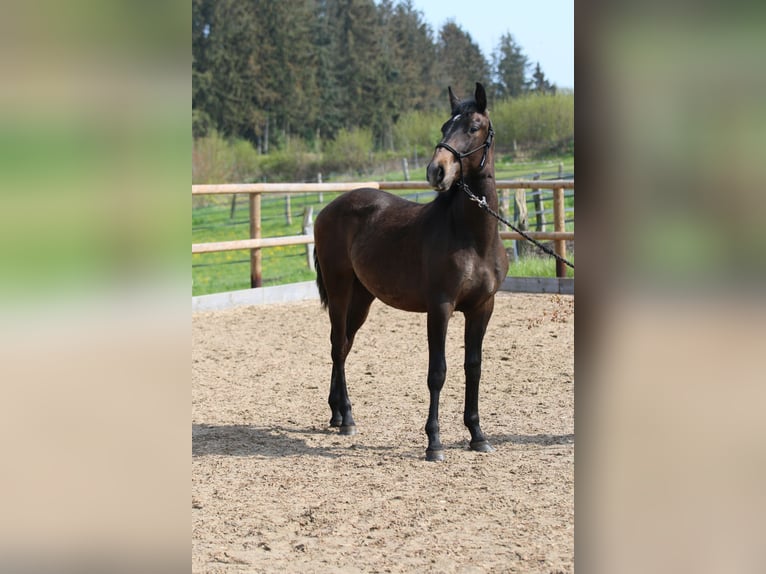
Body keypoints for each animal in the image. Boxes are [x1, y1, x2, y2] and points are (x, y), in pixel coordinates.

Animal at [312, 82, 510, 464]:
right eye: (445, 126)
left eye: (474, 126)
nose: (437, 171)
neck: (472, 236)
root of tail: (326, 210)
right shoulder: (440, 308)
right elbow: (438, 372)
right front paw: (434, 442)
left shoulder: (482, 308)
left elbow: (473, 367)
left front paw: (477, 435)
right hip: (340, 289)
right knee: (337, 347)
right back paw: (347, 418)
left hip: (362, 298)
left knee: (342, 344)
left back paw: (337, 414)